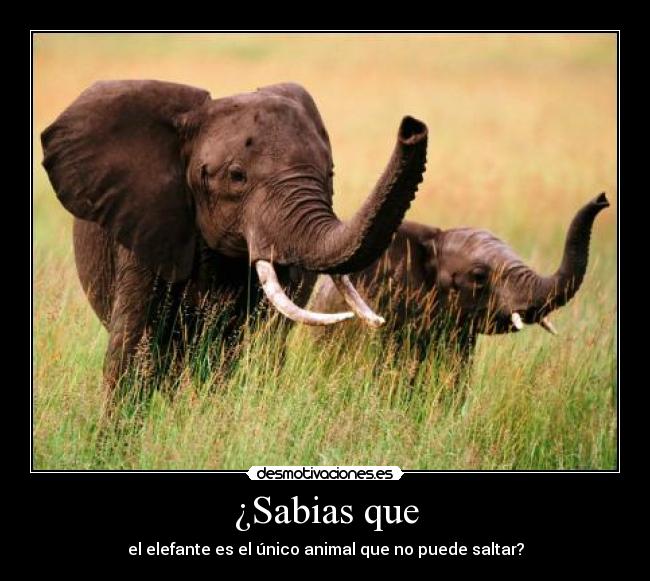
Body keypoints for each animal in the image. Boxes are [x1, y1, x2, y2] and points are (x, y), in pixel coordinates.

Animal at [41, 80, 428, 391]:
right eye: (237, 176)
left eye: (330, 173)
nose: (412, 127)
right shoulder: (145, 228)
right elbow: (132, 354)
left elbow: (253, 349)